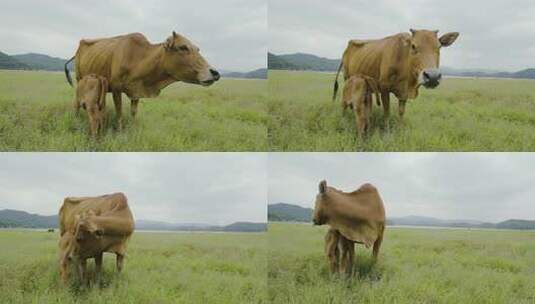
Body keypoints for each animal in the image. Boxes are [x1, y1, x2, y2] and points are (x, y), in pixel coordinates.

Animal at [65, 31, 220, 129]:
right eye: (183, 47)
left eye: (198, 49)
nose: (215, 73)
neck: (138, 58)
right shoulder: (116, 89)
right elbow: (119, 113)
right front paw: (120, 131)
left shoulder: (136, 91)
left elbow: (133, 113)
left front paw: (133, 128)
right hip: (79, 80)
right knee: (77, 103)